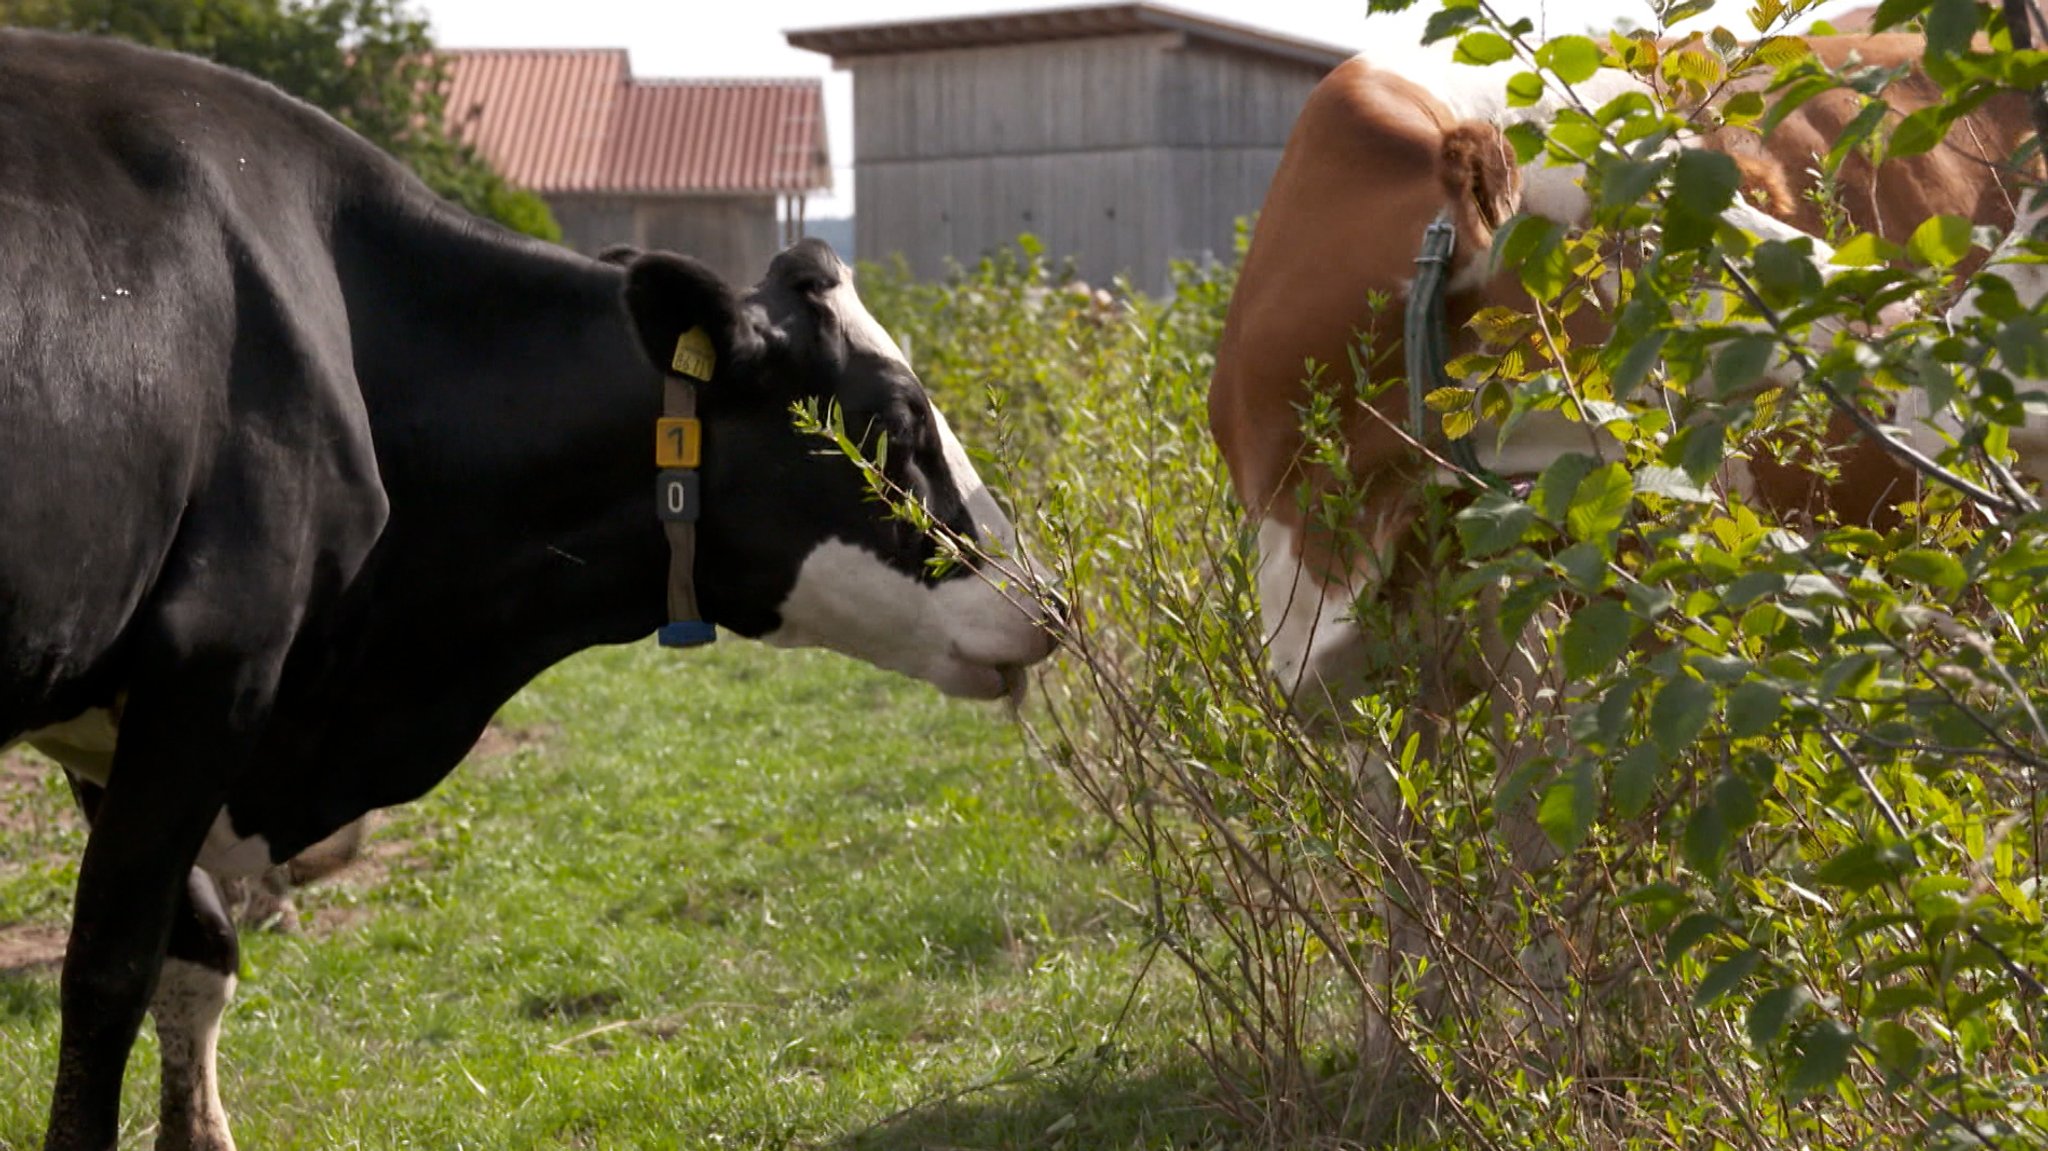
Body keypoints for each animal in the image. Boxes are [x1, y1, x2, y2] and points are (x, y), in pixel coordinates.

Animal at [0, 30, 1059, 1151]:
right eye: (895, 422)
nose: (1049, 602)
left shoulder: (129, 717)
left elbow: (194, 955)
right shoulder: (210, 669)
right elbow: (108, 972)